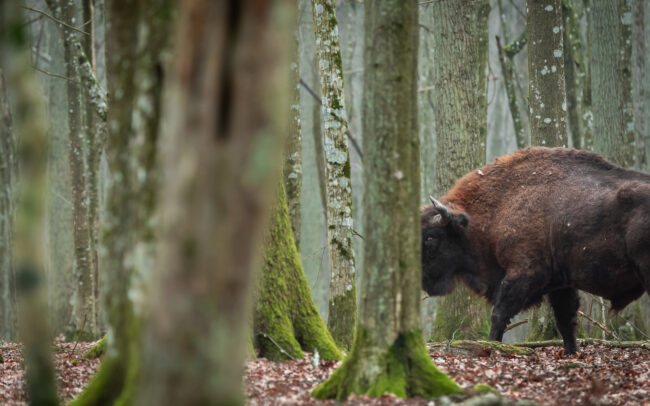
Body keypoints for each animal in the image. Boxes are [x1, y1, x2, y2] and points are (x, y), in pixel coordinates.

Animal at [420, 147, 648, 354]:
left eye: (430, 237)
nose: (420, 279)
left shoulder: (523, 273)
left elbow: (499, 314)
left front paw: (491, 346)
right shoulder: (561, 284)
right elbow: (566, 321)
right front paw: (571, 353)